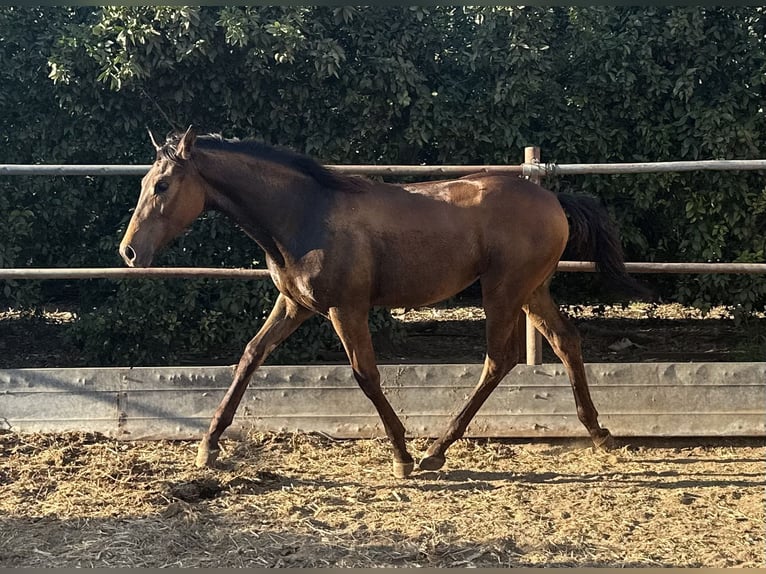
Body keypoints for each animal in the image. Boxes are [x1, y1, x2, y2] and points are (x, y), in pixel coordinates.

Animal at [120, 128, 648, 480]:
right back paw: (599, 433)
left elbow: (366, 376)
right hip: (532, 290)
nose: (129, 253)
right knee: (566, 341)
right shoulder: (294, 304)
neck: (305, 214)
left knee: (499, 360)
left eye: (162, 185)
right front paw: (208, 447)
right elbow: (250, 356)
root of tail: (554, 199)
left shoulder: (346, 309)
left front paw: (402, 455)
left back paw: (436, 450)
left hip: (503, 290)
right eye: (146, 182)